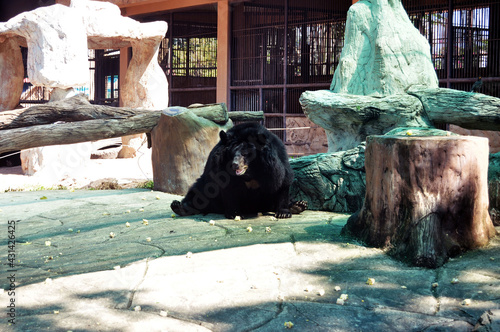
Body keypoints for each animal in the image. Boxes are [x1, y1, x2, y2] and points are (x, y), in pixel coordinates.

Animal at [171, 121, 304, 218]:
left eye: (245, 154)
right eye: (232, 153)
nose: (235, 165)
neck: (250, 172)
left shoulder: (276, 161)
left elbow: (282, 181)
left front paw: (283, 213)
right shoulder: (219, 165)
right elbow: (227, 187)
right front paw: (234, 213)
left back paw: (298, 205)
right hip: (206, 187)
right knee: (200, 192)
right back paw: (179, 207)